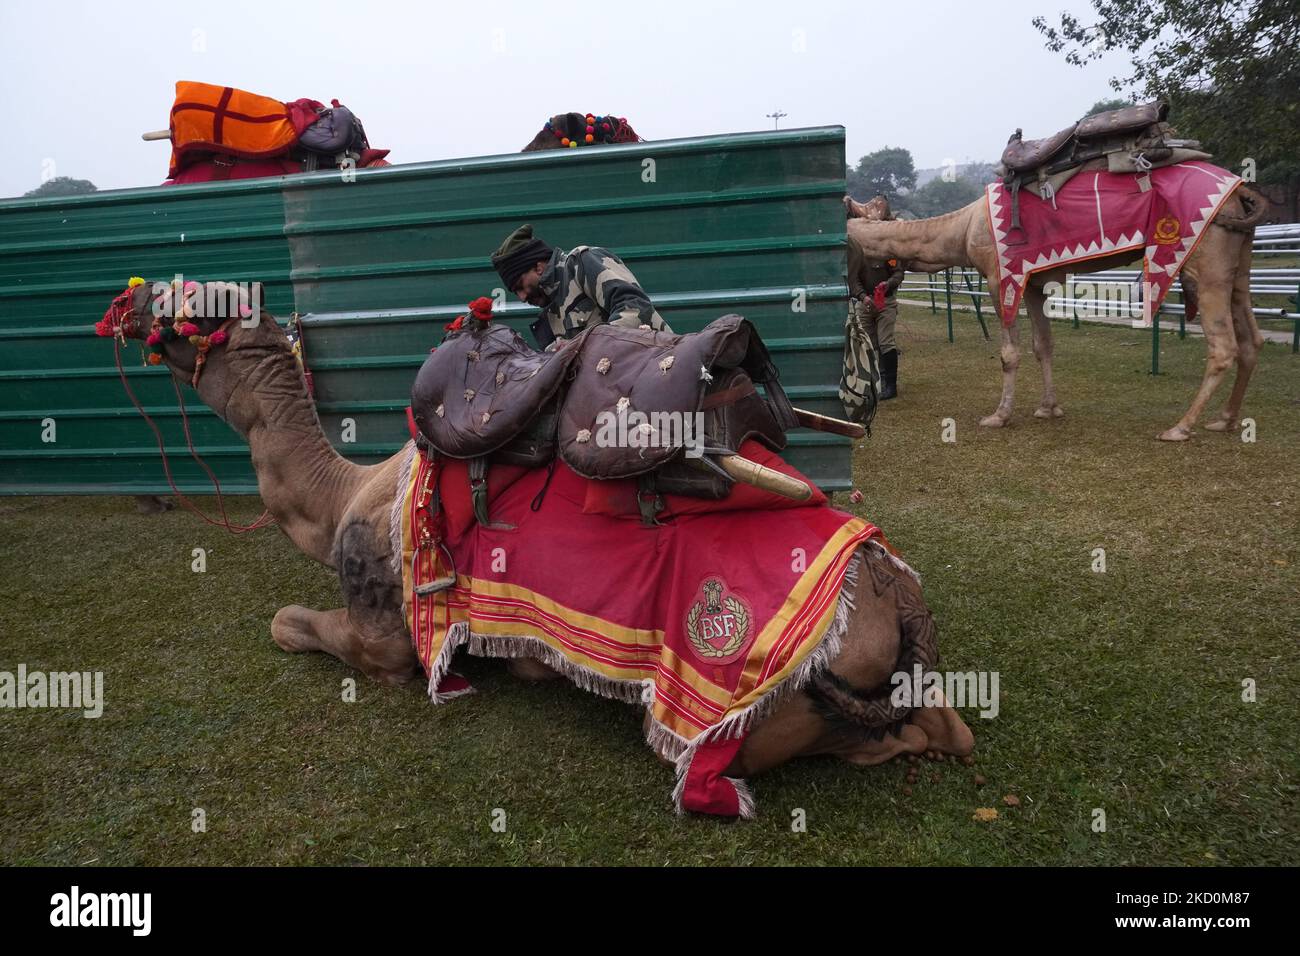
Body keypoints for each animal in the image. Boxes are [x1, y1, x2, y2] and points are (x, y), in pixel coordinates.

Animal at [96, 280, 977, 811]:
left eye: (191, 307)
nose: (124, 306)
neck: (346, 494)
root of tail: (895, 600)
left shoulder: (383, 629)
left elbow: (288, 623)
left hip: (752, 718)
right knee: (946, 728)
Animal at [847, 179, 1263, 442]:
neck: (962, 229)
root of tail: (1241, 192)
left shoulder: (1001, 277)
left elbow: (1009, 353)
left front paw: (999, 415)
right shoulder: (1032, 282)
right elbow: (1042, 344)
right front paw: (1048, 408)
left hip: (1205, 260)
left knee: (1223, 346)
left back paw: (1180, 427)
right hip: (1238, 260)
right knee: (1251, 338)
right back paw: (1225, 420)